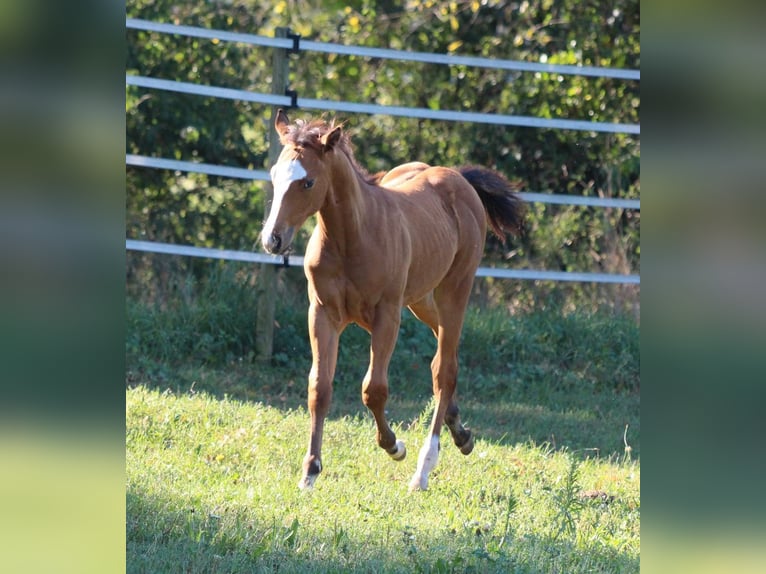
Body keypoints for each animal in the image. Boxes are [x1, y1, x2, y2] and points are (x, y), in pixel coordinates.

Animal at [260, 110, 524, 492]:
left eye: (307, 182)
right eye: (274, 175)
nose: (272, 239)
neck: (352, 238)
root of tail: (458, 178)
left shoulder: (387, 315)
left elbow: (374, 389)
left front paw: (394, 446)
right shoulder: (322, 313)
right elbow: (319, 387)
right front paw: (310, 471)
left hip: (454, 291)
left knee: (445, 369)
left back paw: (423, 469)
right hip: (421, 299)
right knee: (444, 357)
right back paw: (461, 434)